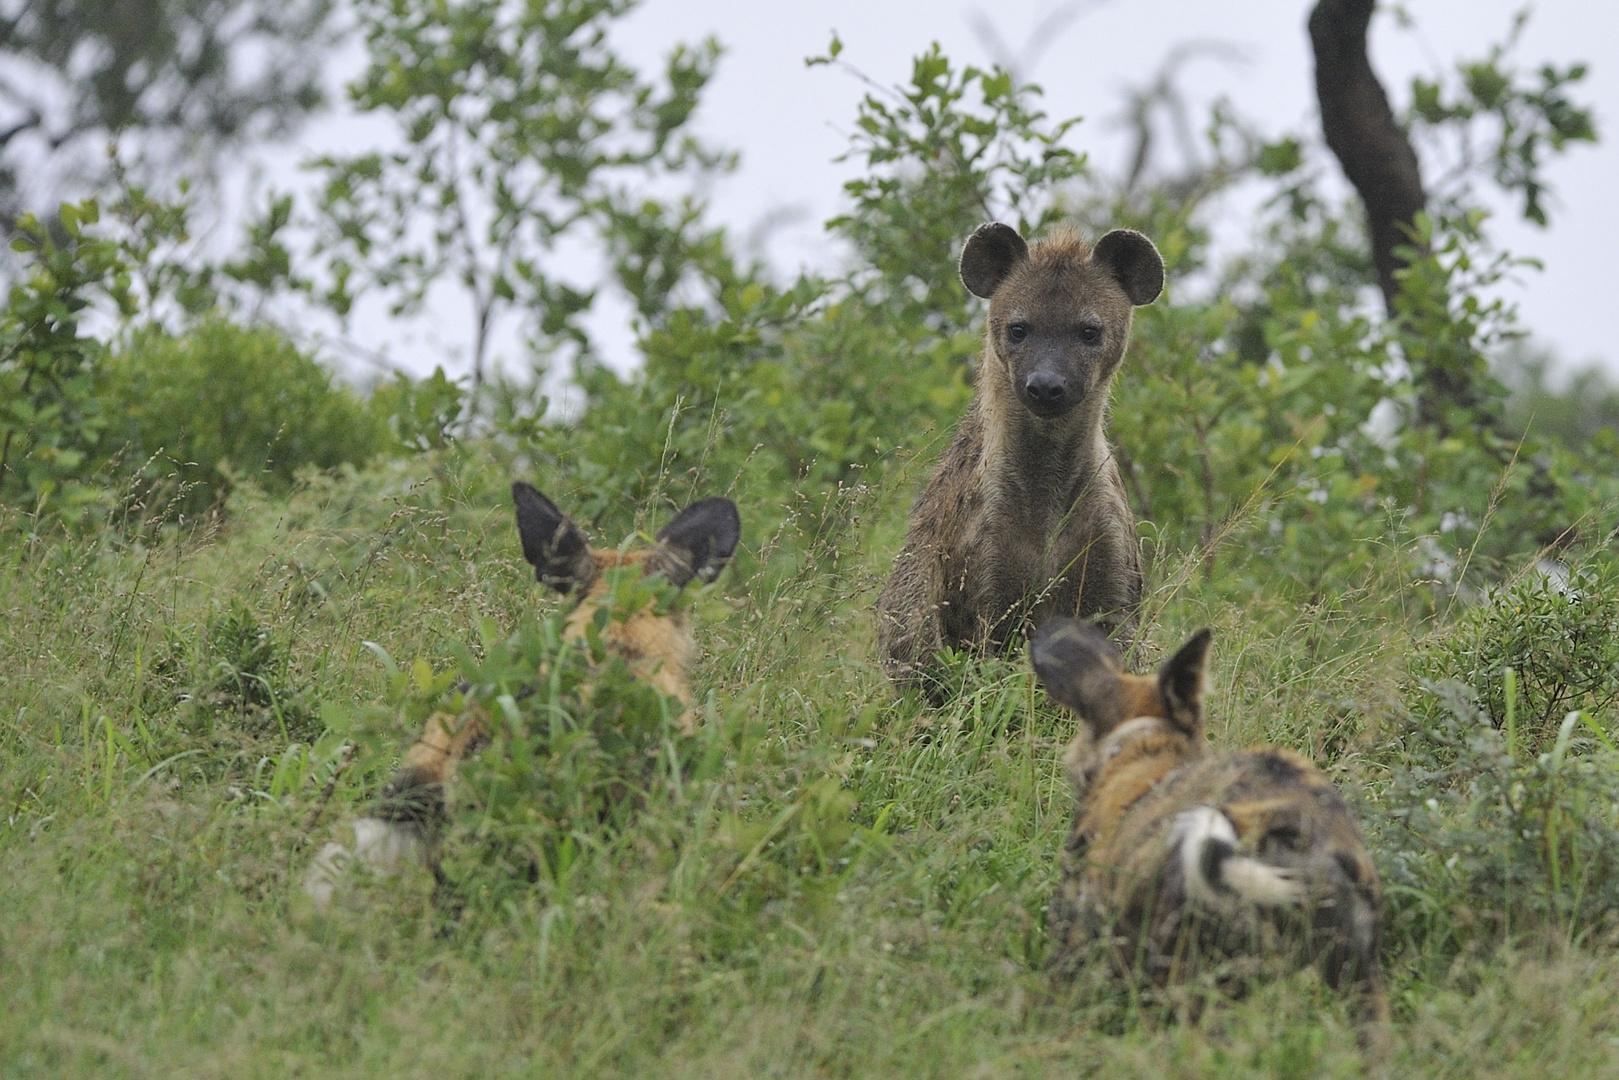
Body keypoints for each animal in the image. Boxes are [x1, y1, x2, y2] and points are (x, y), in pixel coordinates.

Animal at [880, 223, 1159, 696]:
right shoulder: (981, 585)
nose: (1045, 385)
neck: (1047, 479)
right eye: (1018, 329)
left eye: (1089, 331)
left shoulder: (1113, 577)